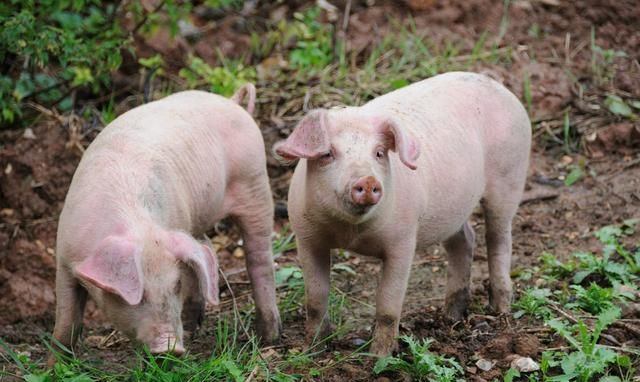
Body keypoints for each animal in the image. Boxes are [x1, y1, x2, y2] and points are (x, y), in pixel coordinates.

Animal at [50, 83, 280, 362]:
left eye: (176, 285)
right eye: (139, 295)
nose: (171, 347)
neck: (138, 224)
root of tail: (233, 102)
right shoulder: (64, 257)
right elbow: (66, 321)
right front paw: (54, 365)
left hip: (255, 184)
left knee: (259, 259)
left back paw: (269, 337)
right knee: (207, 248)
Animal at [274, 71, 528, 356]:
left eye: (379, 153)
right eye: (328, 153)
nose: (368, 180)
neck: (351, 233)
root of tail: (497, 86)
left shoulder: (403, 241)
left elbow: (388, 306)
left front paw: (379, 356)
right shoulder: (306, 237)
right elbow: (315, 300)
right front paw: (312, 350)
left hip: (510, 178)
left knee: (499, 239)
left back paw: (500, 310)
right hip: (454, 210)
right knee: (465, 239)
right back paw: (451, 316)